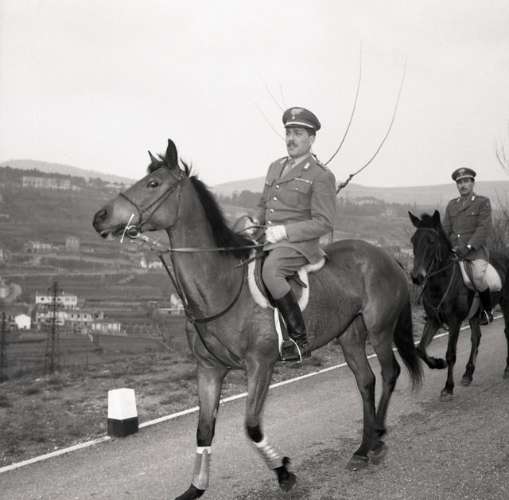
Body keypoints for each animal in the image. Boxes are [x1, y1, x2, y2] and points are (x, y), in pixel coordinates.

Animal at [93, 139, 423, 499]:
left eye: (153, 184)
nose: (100, 217)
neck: (221, 285)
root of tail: (385, 255)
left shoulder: (260, 365)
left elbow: (251, 427)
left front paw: (284, 472)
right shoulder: (209, 369)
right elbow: (204, 430)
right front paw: (195, 487)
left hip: (380, 329)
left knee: (389, 373)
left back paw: (377, 439)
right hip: (350, 335)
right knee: (366, 380)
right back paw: (362, 448)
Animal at [408, 211, 509, 401]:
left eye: (431, 241)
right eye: (413, 240)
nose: (417, 277)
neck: (441, 282)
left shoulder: (454, 322)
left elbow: (451, 354)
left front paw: (448, 388)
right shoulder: (434, 320)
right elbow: (420, 348)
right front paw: (437, 363)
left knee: (507, 333)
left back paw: (506, 369)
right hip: (475, 316)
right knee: (476, 338)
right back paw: (468, 374)